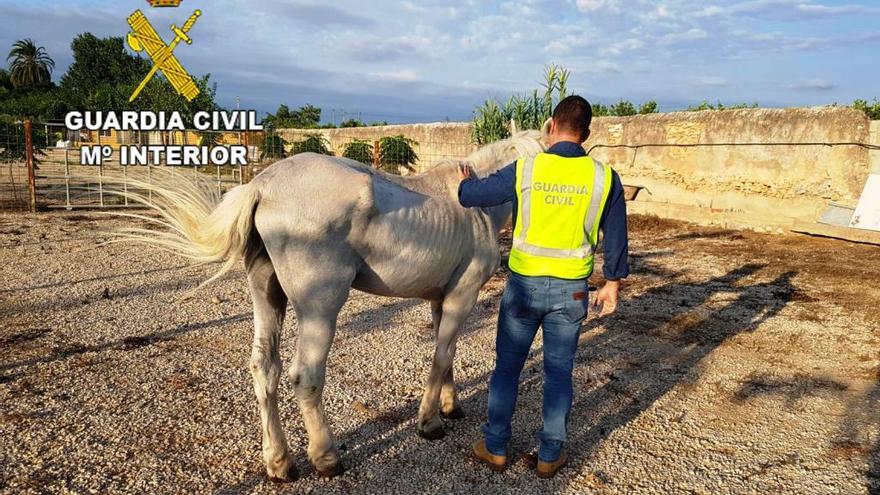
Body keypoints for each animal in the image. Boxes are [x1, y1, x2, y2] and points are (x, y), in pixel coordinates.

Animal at [113, 131, 544, 480]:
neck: (474, 208)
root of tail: (262, 186)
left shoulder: (441, 300)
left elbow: (447, 353)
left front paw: (450, 407)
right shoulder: (461, 297)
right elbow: (440, 358)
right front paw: (430, 423)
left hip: (267, 298)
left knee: (264, 369)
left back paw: (279, 463)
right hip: (320, 311)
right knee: (305, 376)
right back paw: (326, 458)